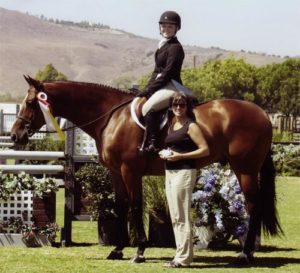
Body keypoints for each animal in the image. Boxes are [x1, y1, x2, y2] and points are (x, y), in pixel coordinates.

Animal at [9, 75, 282, 262]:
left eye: (31, 102)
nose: (14, 135)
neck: (111, 118)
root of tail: (262, 114)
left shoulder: (130, 171)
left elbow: (135, 206)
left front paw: (139, 251)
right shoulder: (116, 172)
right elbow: (120, 206)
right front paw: (117, 249)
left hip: (245, 168)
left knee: (253, 206)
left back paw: (246, 254)